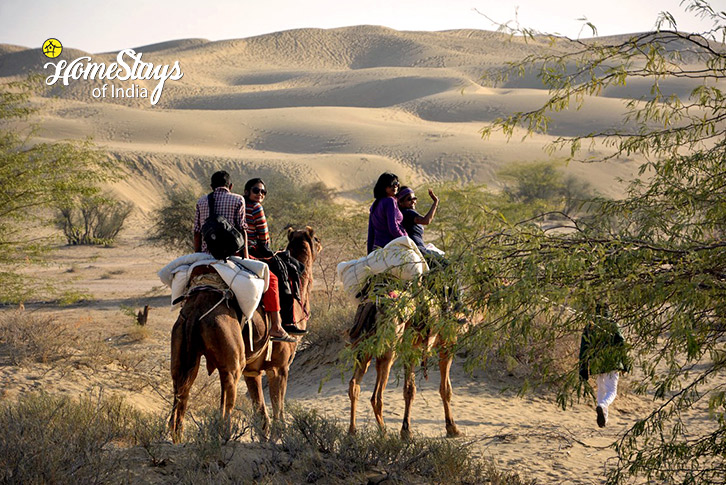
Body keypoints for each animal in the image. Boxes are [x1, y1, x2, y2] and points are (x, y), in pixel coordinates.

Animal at [171, 225, 322, 440]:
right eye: (316, 239)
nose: (321, 243)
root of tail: (195, 312)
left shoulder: (252, 371)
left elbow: (262, 415)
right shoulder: (280, 366)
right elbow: (278, 413)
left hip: (183, 356)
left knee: (179, 400)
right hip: (231, 364)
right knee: (225, 405)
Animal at [346, 290, 460, 440]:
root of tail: (372, 306)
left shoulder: (411, 350)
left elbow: (409, 390)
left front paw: (406, 430)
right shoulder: (447, 344)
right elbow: (446, 389)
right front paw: (452, 428)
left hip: (366, 349)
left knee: (355, 385)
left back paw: (353, 432)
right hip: (390, 350)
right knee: (376, 397)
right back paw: (384, 433)